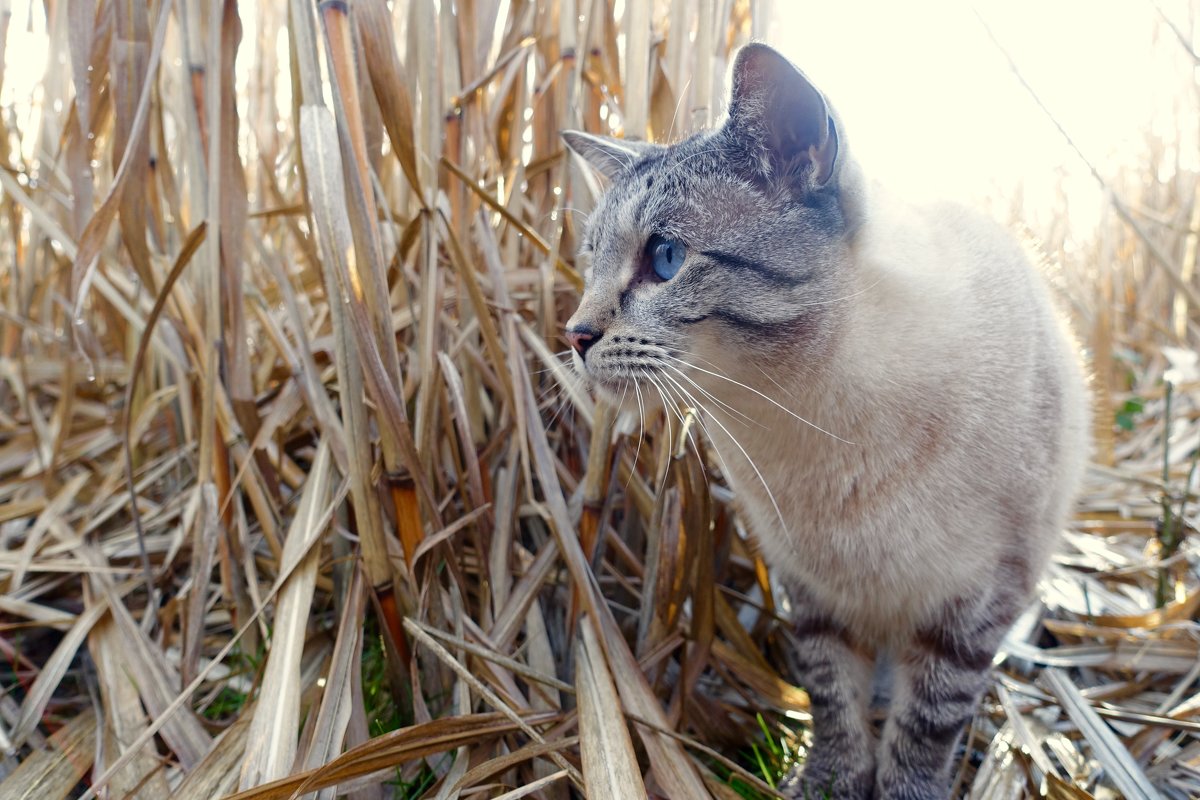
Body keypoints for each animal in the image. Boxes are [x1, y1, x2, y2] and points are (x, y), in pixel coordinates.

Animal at [559, 42, 1089, 800]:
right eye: (589, 262)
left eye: (665, 257)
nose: (573, 335)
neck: (808, 424)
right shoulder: (811, 590)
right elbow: (832, 697)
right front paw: (830, 782)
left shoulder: (976, 598)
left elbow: (927, 724)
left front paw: (903, 790)